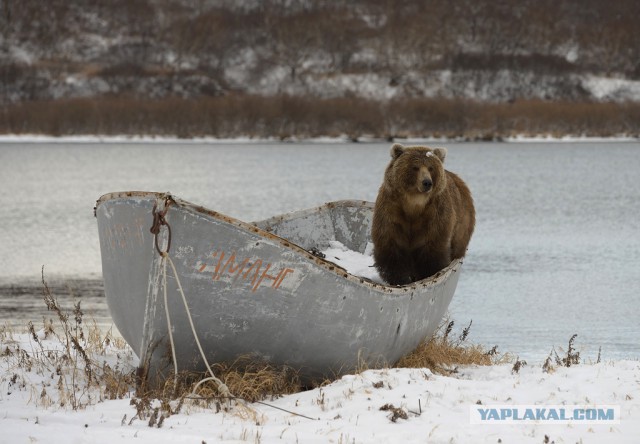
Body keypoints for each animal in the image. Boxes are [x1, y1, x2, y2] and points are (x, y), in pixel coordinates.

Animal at [372, 144, 472, 286]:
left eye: (431, 167)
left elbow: (431, 248)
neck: (414, 203)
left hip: (462, 226)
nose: (427, 182)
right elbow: (391, 245)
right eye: (415, 167)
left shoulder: (434, 215)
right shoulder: (391, 211)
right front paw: (400, 279)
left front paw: (426, 273)